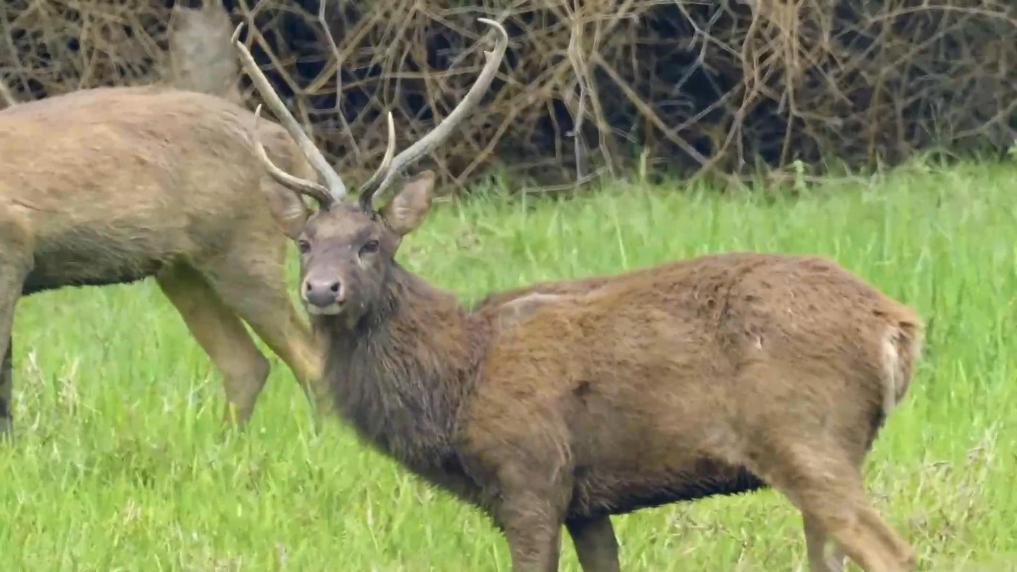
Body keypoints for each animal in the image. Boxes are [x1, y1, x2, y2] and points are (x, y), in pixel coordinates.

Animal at [0, 1, 331, 435]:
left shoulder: (12, 242)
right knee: (247, 364)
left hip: (243, 247)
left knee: (308, 359)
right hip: (181, 268)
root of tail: (287, 146)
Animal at [236, 16, 923, 572]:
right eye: (305, 241)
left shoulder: (530, 473)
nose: (322, 289)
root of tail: (897, 326)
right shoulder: (588, 502)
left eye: (371, 243)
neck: (457, 382)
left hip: (806, 434)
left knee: (894, 552)